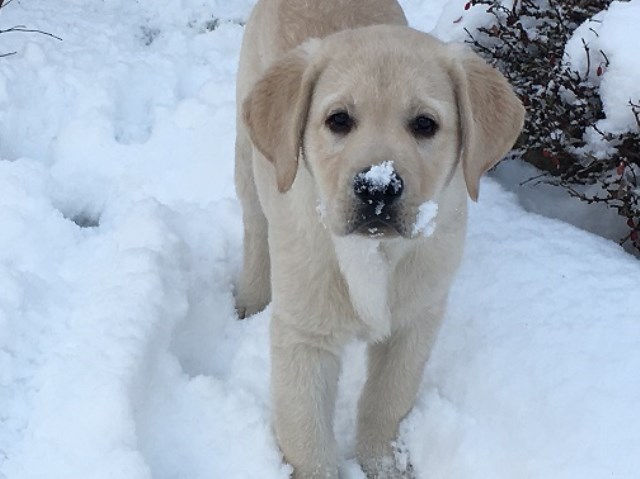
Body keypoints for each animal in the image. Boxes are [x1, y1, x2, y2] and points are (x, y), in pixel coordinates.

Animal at [232, 1, 524, 478]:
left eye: (424, 124)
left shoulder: (415, 323)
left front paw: (385, 464)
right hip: (248, 159)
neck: (374, 252)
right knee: (255, 227)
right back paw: (251, 299)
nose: (377, 188)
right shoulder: (303, 337)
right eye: (338, 120)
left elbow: (386, 402)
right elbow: (306, 434)